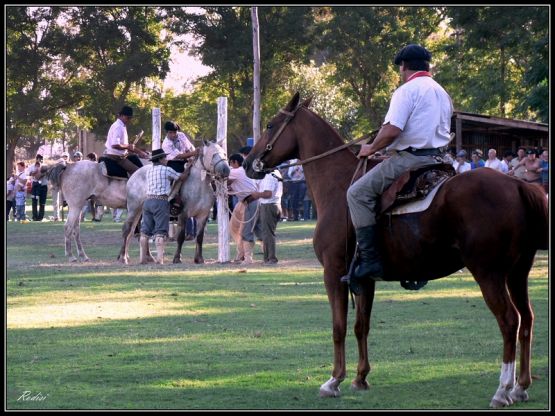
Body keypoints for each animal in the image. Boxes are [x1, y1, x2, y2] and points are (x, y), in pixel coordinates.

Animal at [245, 92, 548, 406]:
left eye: (270, 125)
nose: (248, 162)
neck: (338, 185)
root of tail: (518, 184)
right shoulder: (364, 279)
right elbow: (361, 326)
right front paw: (360, 377)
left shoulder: (334, 272)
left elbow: (339, 327)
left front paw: (334, 380)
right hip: (517, 272)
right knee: (527, 319)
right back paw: (520, 386)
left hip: (489, 272)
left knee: (509, 321)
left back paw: (502, 390)